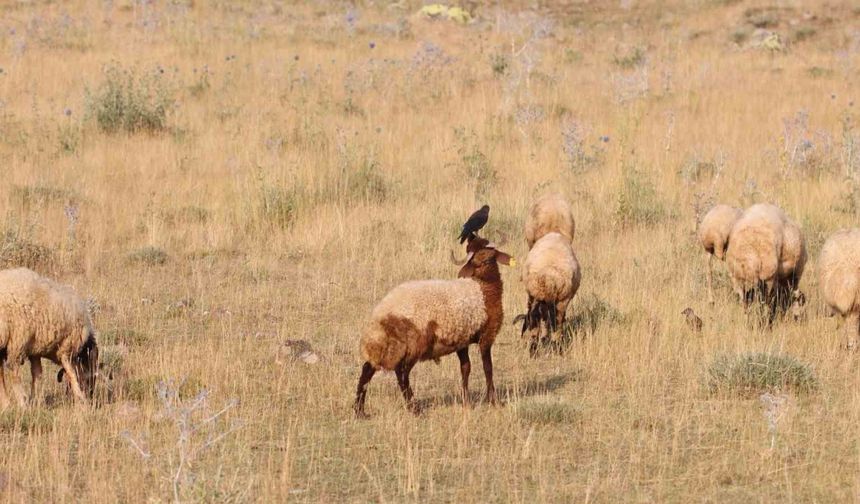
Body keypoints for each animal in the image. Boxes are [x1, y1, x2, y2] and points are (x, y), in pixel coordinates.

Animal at [0, 270, 98, 408]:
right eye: (90, 377)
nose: (91, 394)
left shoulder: (35, 350)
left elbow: (37, 374)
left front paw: (36, 400)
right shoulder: (67, 348)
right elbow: (71, 373)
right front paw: (81, 401)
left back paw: (6, 404)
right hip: (17, 339)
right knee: (13, 370)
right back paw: (22, 402)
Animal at [354, 237, 512, 418]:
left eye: (492, 256)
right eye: (475, 259)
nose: (485, 262)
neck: (483, 287)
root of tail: (379, 317)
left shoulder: (461, 339)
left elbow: (465, 368)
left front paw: (466, 401)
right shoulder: (487, 335)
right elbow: (488, 368)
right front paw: (493, 401)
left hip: (387, 348)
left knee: (367, 370)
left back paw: (359, 410)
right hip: (413, 345)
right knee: (402, 373)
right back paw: (414, 408)